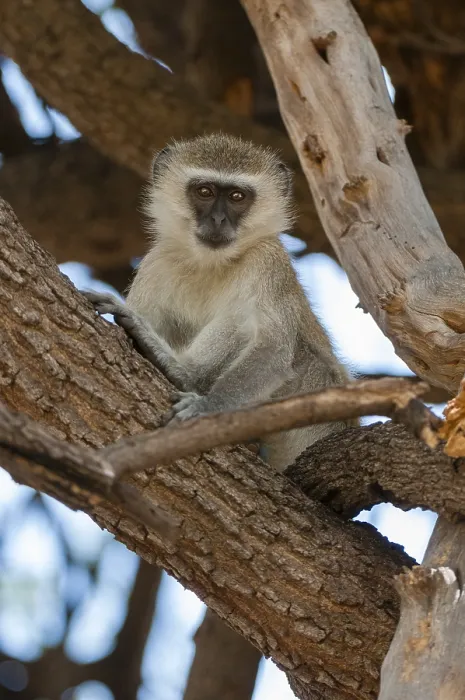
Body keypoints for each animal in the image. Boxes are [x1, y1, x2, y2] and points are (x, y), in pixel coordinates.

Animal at [83, 132, 352, 472]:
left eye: (237, 196)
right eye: (205, 192)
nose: (218, 219)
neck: (210, 264)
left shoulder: (268, 261)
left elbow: (273, 353)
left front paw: (208, 408)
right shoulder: (156, 262)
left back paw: (182, 372)